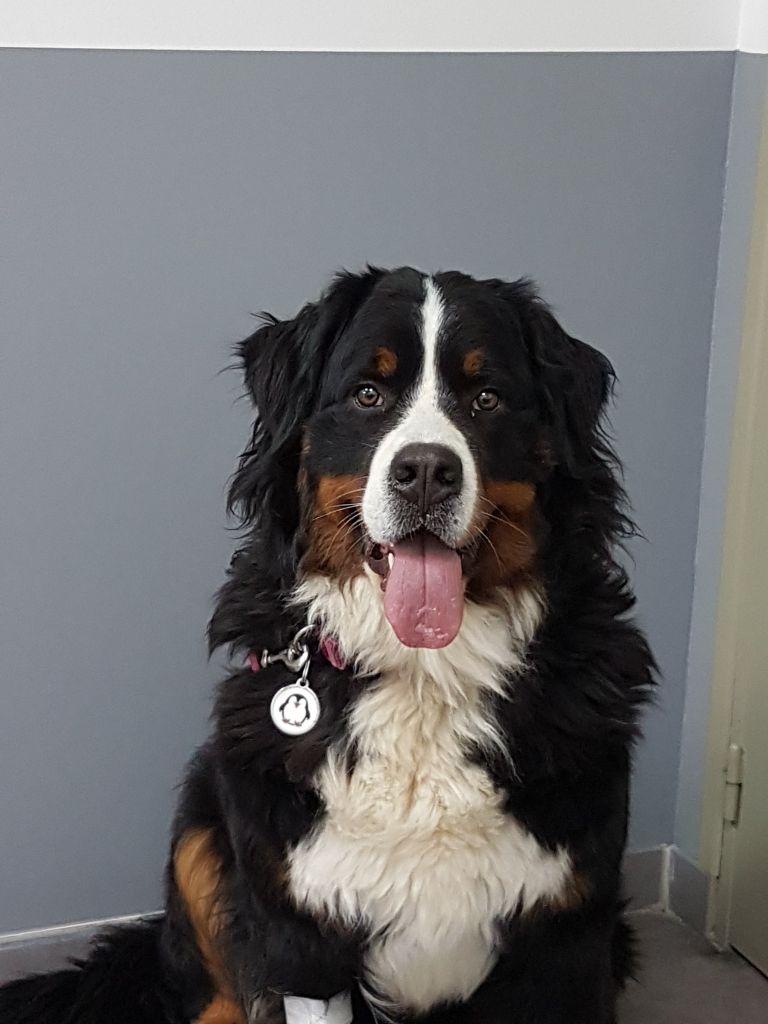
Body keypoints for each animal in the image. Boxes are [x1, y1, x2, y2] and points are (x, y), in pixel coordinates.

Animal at [3, 266, 659, 1024]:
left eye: (487, 398)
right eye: (367, 394)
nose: (426, 470)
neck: (425, 675)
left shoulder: (570, 936)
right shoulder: (302, 935)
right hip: (203, 826)